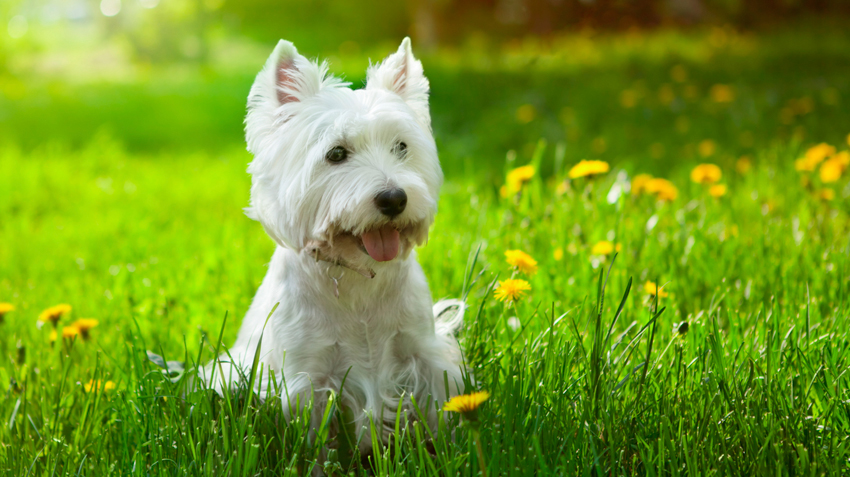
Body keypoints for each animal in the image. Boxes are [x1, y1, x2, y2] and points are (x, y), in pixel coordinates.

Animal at [203, 39, 468, 452]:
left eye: (401, 147)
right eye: (337, 154)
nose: (394, 199)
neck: (356, 275)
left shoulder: (424, 353)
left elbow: (439, 410)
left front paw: (452, 449)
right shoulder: (307, 377)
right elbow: (314, 443)